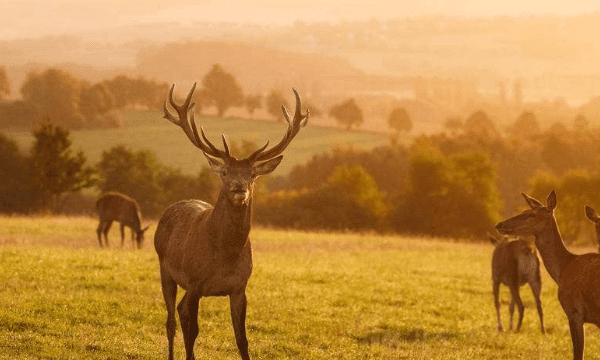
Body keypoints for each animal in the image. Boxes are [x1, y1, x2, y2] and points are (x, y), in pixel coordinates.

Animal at [154, 83, 310, 358]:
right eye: (225, 172)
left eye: (252, 174)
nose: (239, 188)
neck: (224, 255)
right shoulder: (195, 282)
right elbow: (192, 332)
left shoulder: (239, 287)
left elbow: (242, 339)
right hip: (165, 269)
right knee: (171, 319)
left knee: (179, 312)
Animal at [494, 190, 600, 358]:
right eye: (524, 211)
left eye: (531, 214)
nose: (500, 224)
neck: (563, 270)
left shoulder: (574, 312)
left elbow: (578, 354)